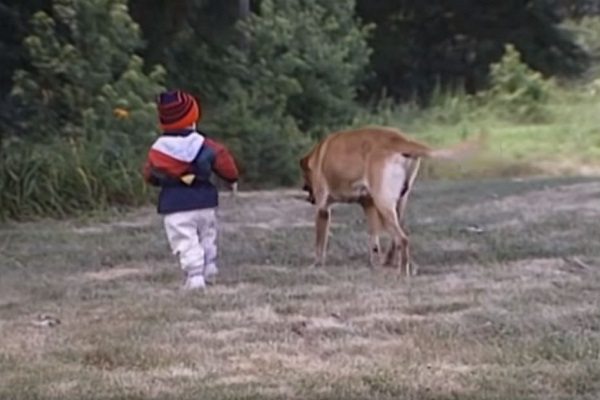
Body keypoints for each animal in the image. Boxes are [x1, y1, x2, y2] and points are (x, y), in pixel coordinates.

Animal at [298, 126, 482, 276]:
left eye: (306, 181)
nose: (308, 197)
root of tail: (399, 140)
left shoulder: (323, 209)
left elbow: (319, 243)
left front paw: (317, 264)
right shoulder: (368, 206)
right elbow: (374, 241)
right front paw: (375, 262)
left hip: (383, 203)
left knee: (403, 239)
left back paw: (402, 272)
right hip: (395, 205)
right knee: (397, 239)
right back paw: (397, 264)